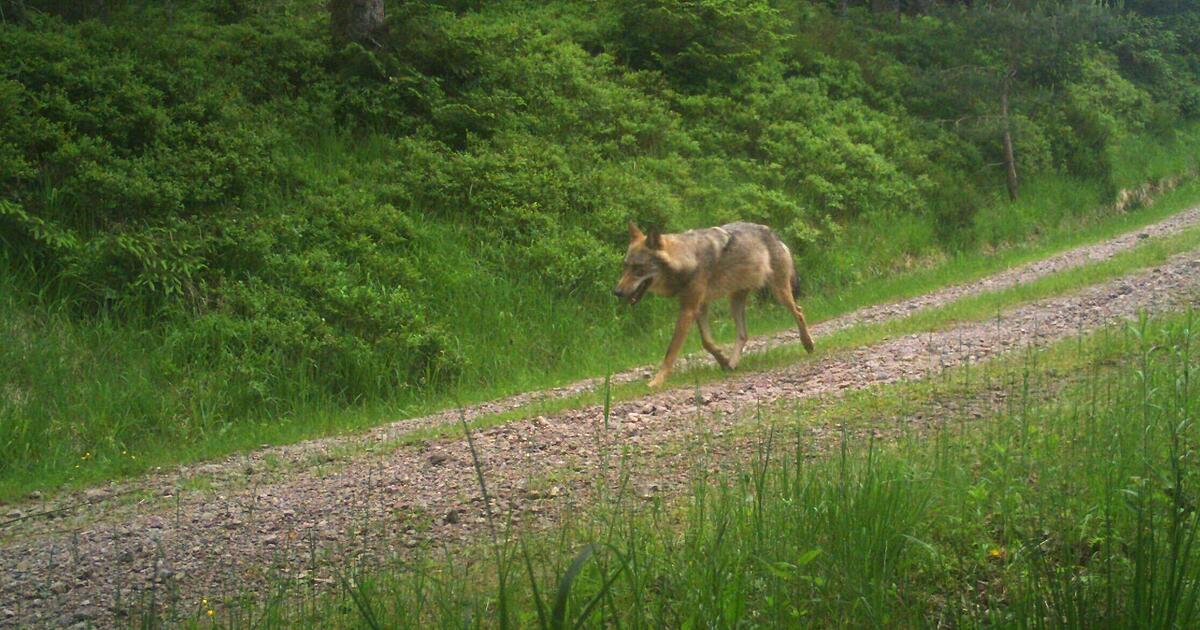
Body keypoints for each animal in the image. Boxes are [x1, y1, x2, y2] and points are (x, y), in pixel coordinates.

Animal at [613, 221, 815, 388]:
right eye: (625, 266)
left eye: (638, 269)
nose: (617, 292)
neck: (688, 259)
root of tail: (774, 235)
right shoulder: (699, 306)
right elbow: (707, 342)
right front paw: (723, 361)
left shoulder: (689, 309)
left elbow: (670, 352)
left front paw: (656, 381)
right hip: (735, 300)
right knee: (743, 334)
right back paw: (732, 364)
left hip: (779, 293)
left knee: (799, 311)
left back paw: (808, 344)